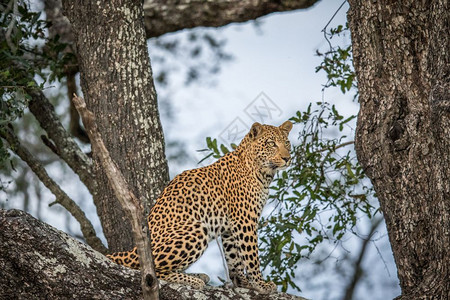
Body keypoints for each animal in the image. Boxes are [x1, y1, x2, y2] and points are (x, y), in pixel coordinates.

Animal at [107, 119, 294, 292]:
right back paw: (192, 280)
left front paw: (242, 282)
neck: (263, 173)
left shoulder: (230, 226)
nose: (287, 158)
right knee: (150, 272)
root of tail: (131, 251)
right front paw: (261, 283)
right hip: (196, 228)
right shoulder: (245, 220)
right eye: (271, 144)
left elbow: (234, 257)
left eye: (286, 143)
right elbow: (251, 255)